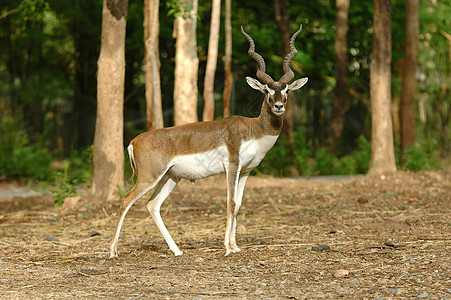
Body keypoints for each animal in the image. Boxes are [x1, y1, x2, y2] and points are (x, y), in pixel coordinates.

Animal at [110, 24, 308, 258]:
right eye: (267, 90)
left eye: (286, 90)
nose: (279, 106)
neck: (253, 130)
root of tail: (134, 141)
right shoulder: (232, 165)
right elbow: (230, 202)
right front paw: (228, 248)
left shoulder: (246, 171)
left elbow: (238, 204)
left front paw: (236, 246)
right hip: (149, 177)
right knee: (125, 201)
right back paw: (113, 252)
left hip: (170, 177)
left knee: (152, 205)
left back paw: (177, 251)